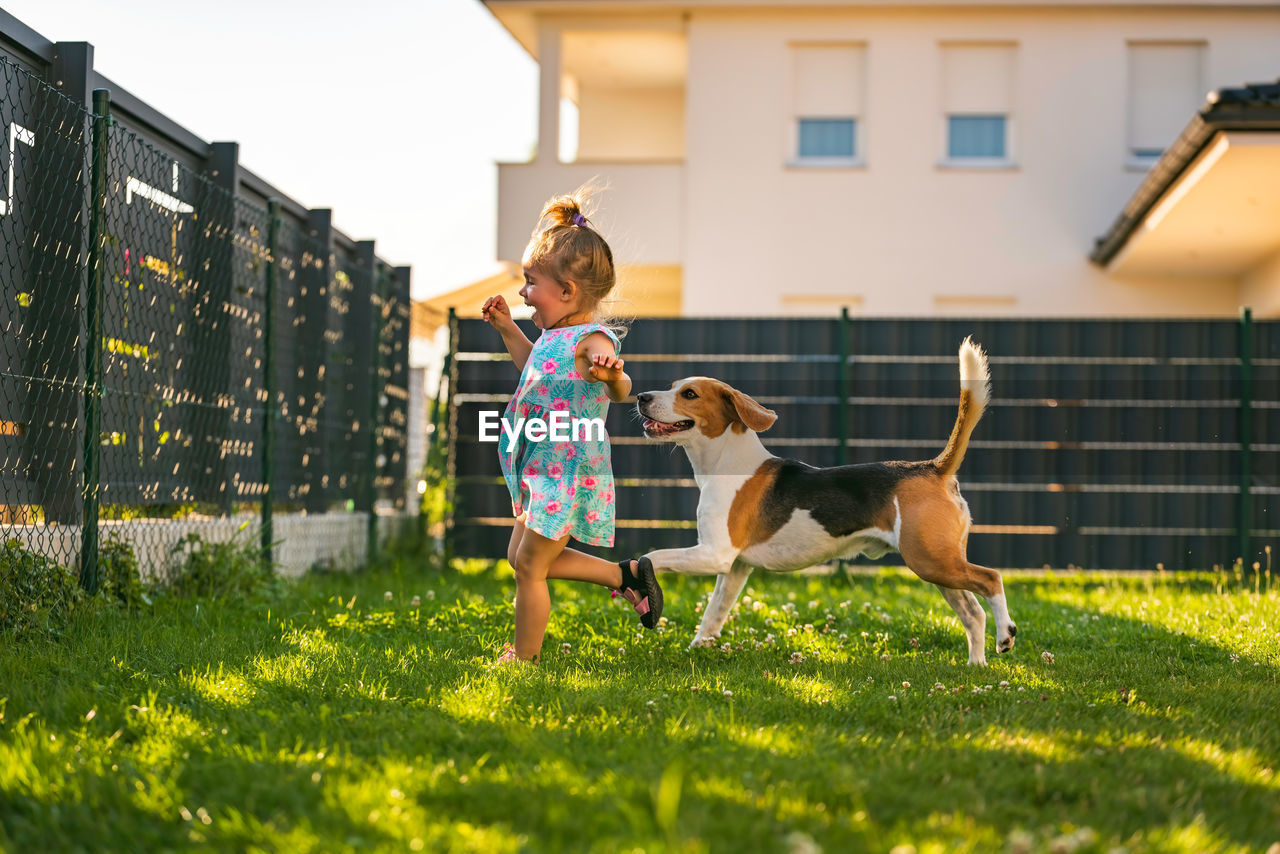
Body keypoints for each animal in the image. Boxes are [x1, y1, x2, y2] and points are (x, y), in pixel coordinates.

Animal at [634, 338, 1013, 665]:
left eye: (689, 394)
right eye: (673, 386)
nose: (640, 396)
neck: (726, 463)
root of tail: (933, 467)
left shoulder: (715, 554)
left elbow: (652, 556)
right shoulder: (735, 567)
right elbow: (714, 613)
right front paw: (698, 648)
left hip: (932, 561)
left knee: (991, 579)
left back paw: (1005, 635)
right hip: (937, 566)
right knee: (973, 613)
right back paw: (976, 665)